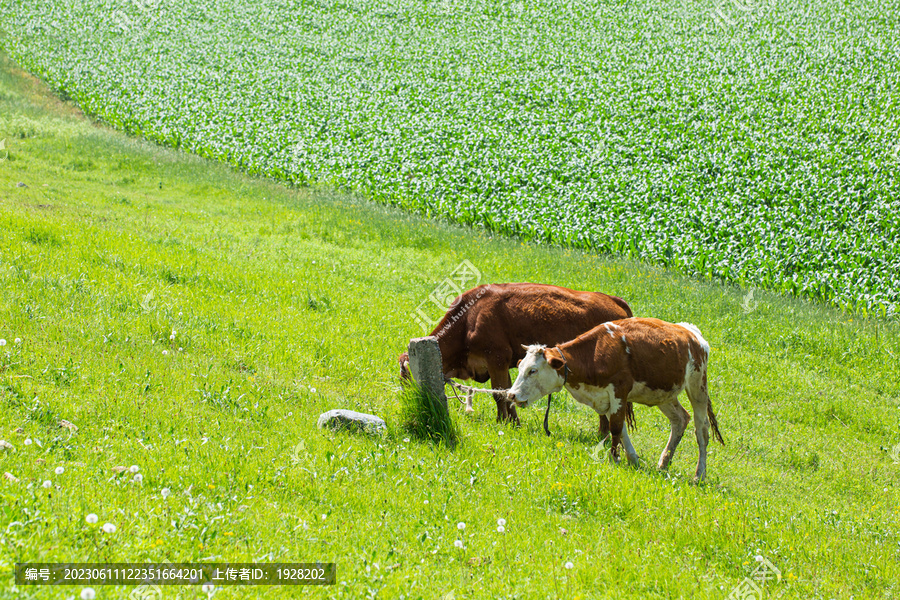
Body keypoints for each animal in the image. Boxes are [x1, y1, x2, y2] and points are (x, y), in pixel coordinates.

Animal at [400, 282, 632, 426]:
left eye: (408, 377)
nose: (409, 400)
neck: (469, 318)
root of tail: (613, 299)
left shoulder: (496, 360)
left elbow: (499, 393)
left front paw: (506, 423)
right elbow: (508, 391)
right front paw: (510, 421)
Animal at [506, 316, 724, 480]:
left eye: (533, 370)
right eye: (519, 366)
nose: (511, 394)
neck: (596, 352)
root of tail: (691, 331)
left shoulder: (619, 391)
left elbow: (616, 427)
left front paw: (614, 459)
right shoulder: (606, 398)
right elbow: (620, 428)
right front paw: (632, 459)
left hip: (698, 386)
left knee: (702, 430)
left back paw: (699, 475)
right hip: (665, 394)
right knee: (680, 419)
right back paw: (664, 463)